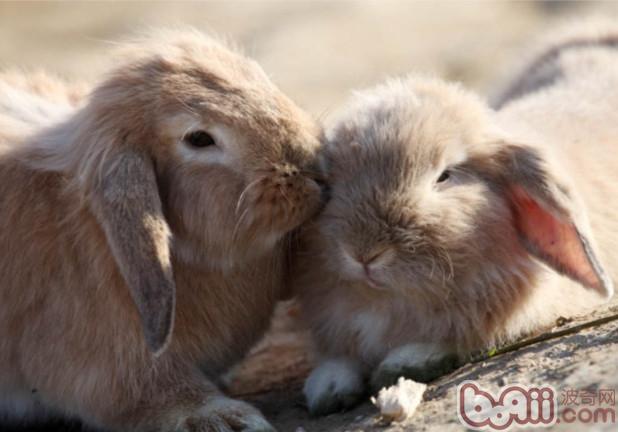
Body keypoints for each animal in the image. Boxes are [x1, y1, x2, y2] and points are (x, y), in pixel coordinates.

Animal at [0, 28, 324, 430]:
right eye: (199, 139)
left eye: (259, 75)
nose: (313, 165)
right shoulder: (110, 364)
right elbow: (152, 390)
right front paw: (224, 420)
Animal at [292, 22, 616, 416]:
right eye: (330, 178)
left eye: (445, 176)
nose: (364, 254)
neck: (393, 300)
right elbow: (338, 358)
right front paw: (327, 389)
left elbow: (449, 342)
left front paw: (401, 363)